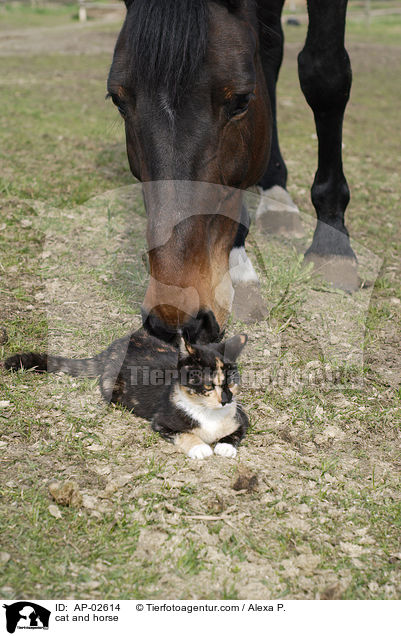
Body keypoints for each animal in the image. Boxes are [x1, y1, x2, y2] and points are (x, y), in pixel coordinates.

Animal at [3, 328, 247, 458]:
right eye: (208, 386)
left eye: (232, 383)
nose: (226, 400)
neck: (208, 414)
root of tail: (111, 348)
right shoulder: (162, 420)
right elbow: (184, 433)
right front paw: (200, 448)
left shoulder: (241, 416)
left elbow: (237, 431)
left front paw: (225, 446)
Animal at [107, 0, 354, 342]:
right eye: (118, 100)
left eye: (242, 100)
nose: (174, 314)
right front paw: (240, 267)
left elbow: (325, 75)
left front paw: (332, 243)